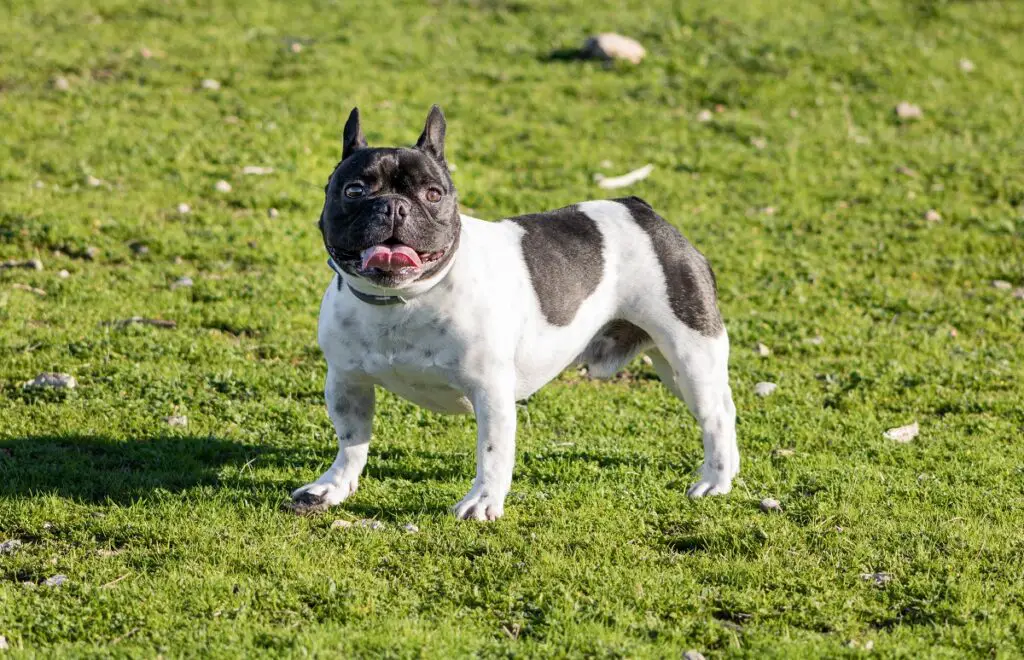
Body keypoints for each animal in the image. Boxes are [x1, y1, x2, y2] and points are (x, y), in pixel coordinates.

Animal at [292, 106, 741, 519]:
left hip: (690, 349)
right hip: (672, 365)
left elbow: (492, 451)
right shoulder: (347, 381)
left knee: (716, 415)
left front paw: (482, 502)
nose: (393, 206)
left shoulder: (490, 391)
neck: (403, 300)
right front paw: (333, 486)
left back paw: (714, 481)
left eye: (433, 194)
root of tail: (644, 211)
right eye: (353, 191)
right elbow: (351, 440)